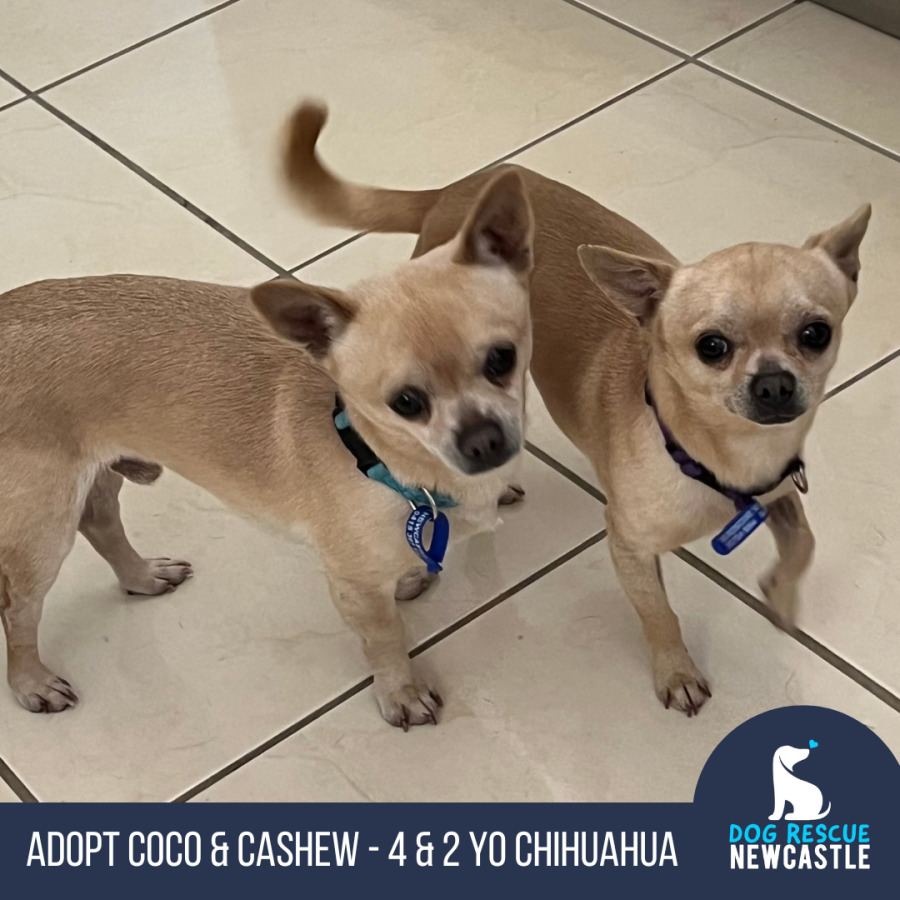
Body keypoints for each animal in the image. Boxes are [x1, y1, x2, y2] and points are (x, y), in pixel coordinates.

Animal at [0, 169, 535, 729]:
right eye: (405, 402)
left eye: (503, 358)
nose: (483, 440)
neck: (376, 457)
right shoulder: (356, 590)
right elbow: (386, 639)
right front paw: (400, 691)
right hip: (40, 527)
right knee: (17, 609)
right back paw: (31, 682)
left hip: (94, 474)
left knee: (100, 521)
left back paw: (142, 576)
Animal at [283, 101, 870, 716]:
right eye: (711, 347)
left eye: (816, 333)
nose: (775, 384)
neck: (714, 457)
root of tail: (452, 191)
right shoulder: (630, 547)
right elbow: (659, 613)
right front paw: (676, 670)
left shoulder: (782, 493)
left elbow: (803, 544)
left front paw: (782, 597)